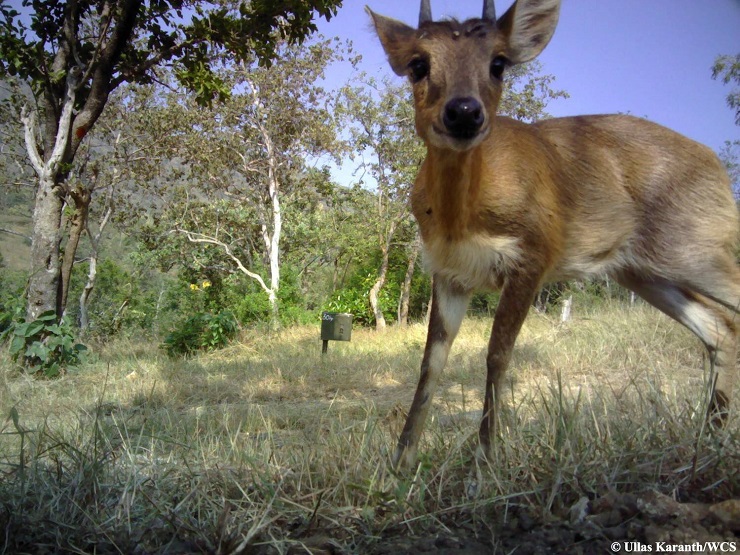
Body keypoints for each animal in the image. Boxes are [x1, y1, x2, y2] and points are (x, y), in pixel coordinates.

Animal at [368, 0, 740, 470]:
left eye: (498, 63)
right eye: (419, 64)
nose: (465, 112)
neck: (463, 216)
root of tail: (720, 172)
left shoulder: (533, 254)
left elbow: (497, 354)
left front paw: (485, 463)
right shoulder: (449, 270)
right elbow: (431, 361)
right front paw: (401, 463)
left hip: (696, 245)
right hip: (645, 271)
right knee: (720, 328)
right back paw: (707, 441)